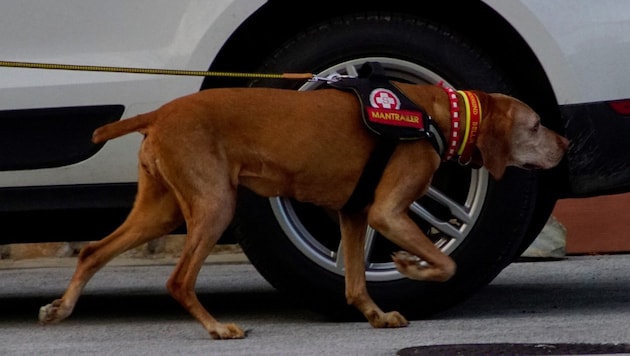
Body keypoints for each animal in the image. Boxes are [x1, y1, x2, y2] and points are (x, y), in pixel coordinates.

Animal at [37, 82, 572, 340]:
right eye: (536, 125)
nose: (567, 144)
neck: (441, 113)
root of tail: (161, 113)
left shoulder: (356, 215)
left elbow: (355, 284)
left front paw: (376, 315)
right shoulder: (386, 213)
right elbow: (447, 263)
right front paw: (408, 264)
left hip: (162, 210)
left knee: (93, 251)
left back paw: (61, 307)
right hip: (214, 204)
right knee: (177, 280)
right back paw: (216, 328)